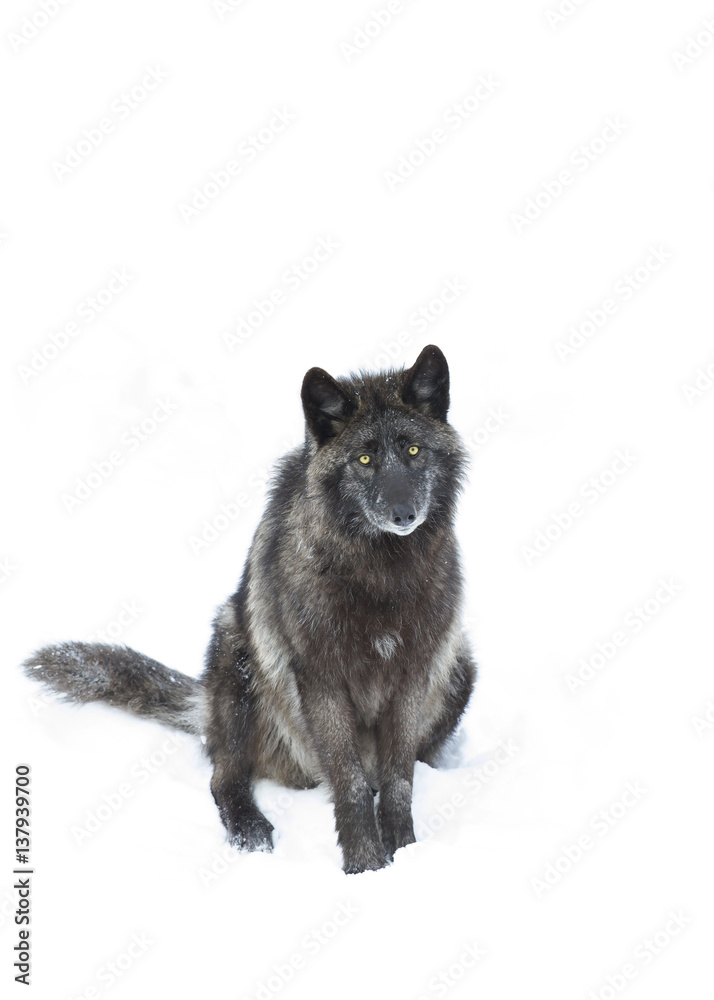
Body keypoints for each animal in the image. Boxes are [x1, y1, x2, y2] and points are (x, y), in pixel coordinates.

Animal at [23, 344, 476, 873]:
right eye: (364, 458)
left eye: (413, 451)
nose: (403, 514)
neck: (381, 576)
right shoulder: (320, 677)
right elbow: (349, 782)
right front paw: (366, 866)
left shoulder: (413, 672)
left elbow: (400, 782)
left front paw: (404, 853)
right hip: (236, 659)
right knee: (225, 777)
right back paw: (250, 829)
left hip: (461, 665)